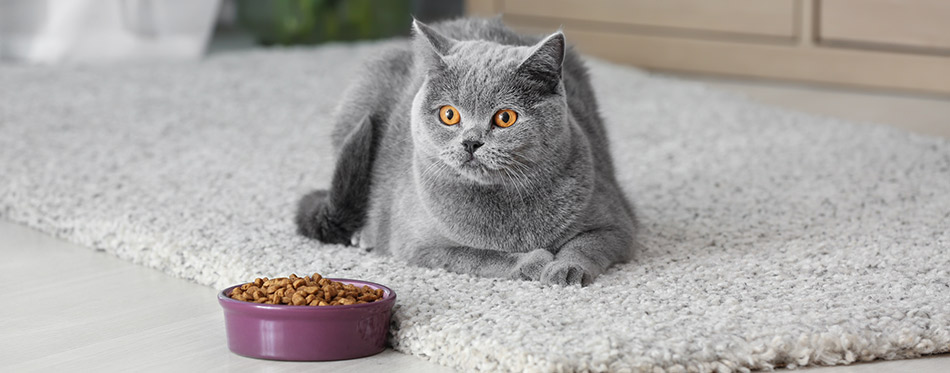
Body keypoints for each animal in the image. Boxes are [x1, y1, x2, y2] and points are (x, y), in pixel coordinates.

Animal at [298, 18, 640, 284]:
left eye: (505, 118)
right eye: (449, 115)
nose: (471, 142)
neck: (504, 202)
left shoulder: (618, 223)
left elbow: (586, 245)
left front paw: (564, 268)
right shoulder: (421, 247)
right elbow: (482, 256)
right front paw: (533, 262)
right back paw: (364, 234)